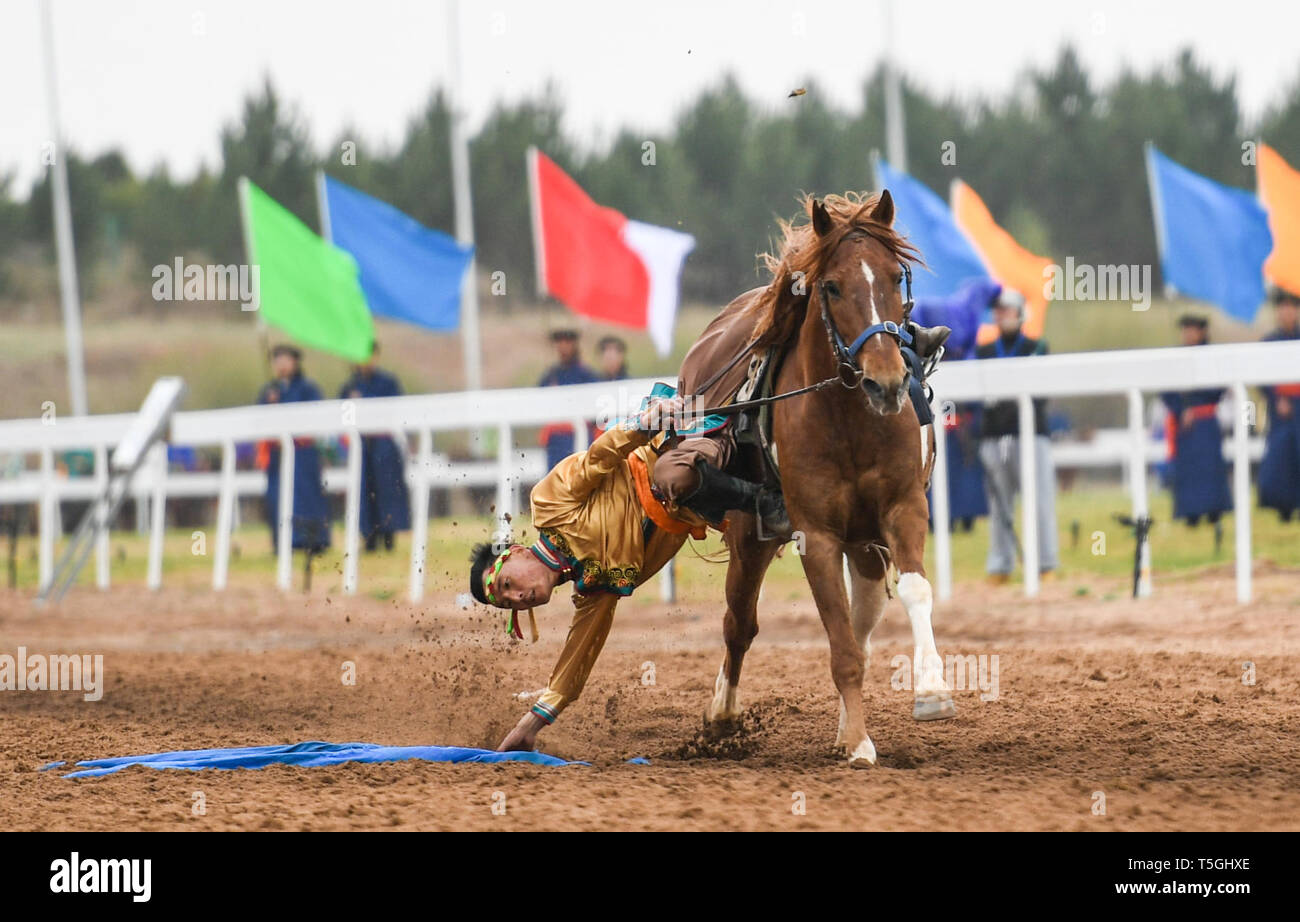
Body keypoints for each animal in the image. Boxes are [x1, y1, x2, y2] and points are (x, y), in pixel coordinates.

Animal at [678, 190, 956, 768]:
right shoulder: (818, 536)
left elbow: (912, 592)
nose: (887, 381)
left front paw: (932, 690)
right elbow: (839, 644)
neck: (851, 417)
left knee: (862, 619)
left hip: (866, 546)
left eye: (895, 278)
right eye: (831, 286)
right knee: (739, 623)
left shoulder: (903, 508)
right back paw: (723, 714)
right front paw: (860, 744)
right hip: (750, 536)